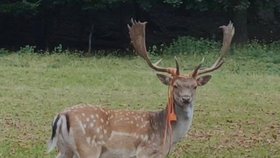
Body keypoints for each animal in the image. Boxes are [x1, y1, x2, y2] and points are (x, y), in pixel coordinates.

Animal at [47, 19, 234, 157]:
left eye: (194, 86)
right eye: (175, 85)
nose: (186, 98)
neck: (168, 137)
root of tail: (62, 115)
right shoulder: (145, 151)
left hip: (65, 149)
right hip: (88, 148)